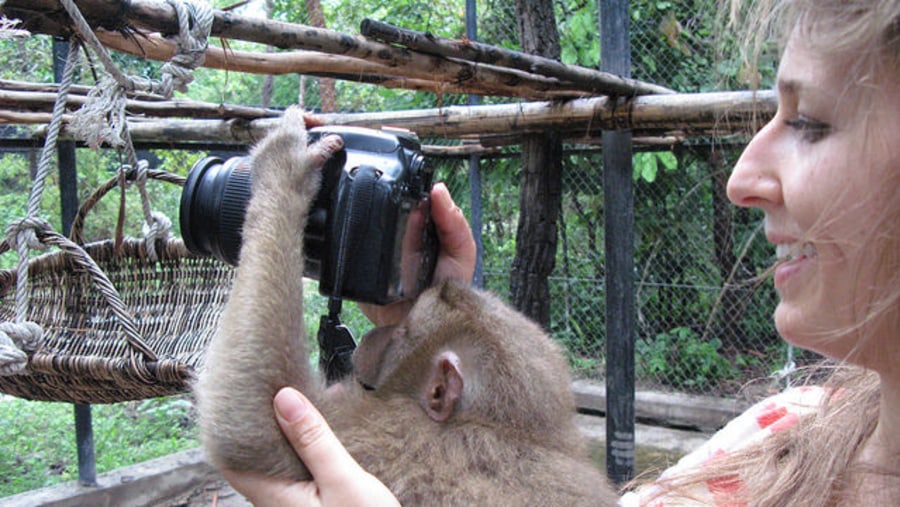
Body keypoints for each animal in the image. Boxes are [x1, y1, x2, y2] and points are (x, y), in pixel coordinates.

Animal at [196, 106, 620, 504]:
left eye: (402, 331)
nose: (377, 336)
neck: (504, 429)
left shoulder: (395, 437)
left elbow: (256, 422)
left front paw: (287, 167)